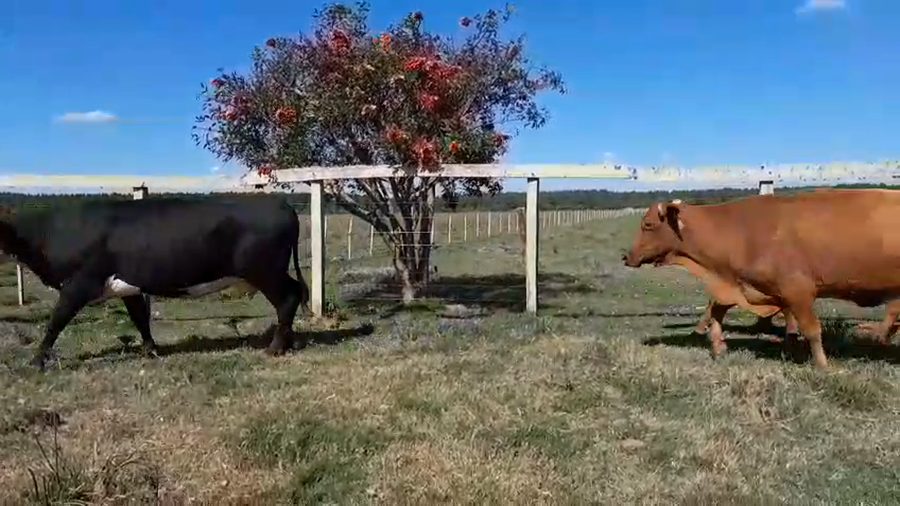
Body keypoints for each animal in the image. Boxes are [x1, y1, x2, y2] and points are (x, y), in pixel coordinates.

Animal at [0, 195, 310, 371]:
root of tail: (279, 204)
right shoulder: (128, 285)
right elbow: (139, 318)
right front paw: (150, 350)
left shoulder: (79, 284)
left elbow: (56, 321)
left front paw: (36, 361)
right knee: (295, 293)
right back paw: (290, 341)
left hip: (264, 271)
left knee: (288, 298)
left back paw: (275, 348)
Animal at [622, 189, 900, 368]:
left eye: (648, 224)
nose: (627, 256)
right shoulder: (746, 287)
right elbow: (717, 309)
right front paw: (717, 345)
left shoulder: (798, 291)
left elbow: (812, 330)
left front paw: (822, 366)